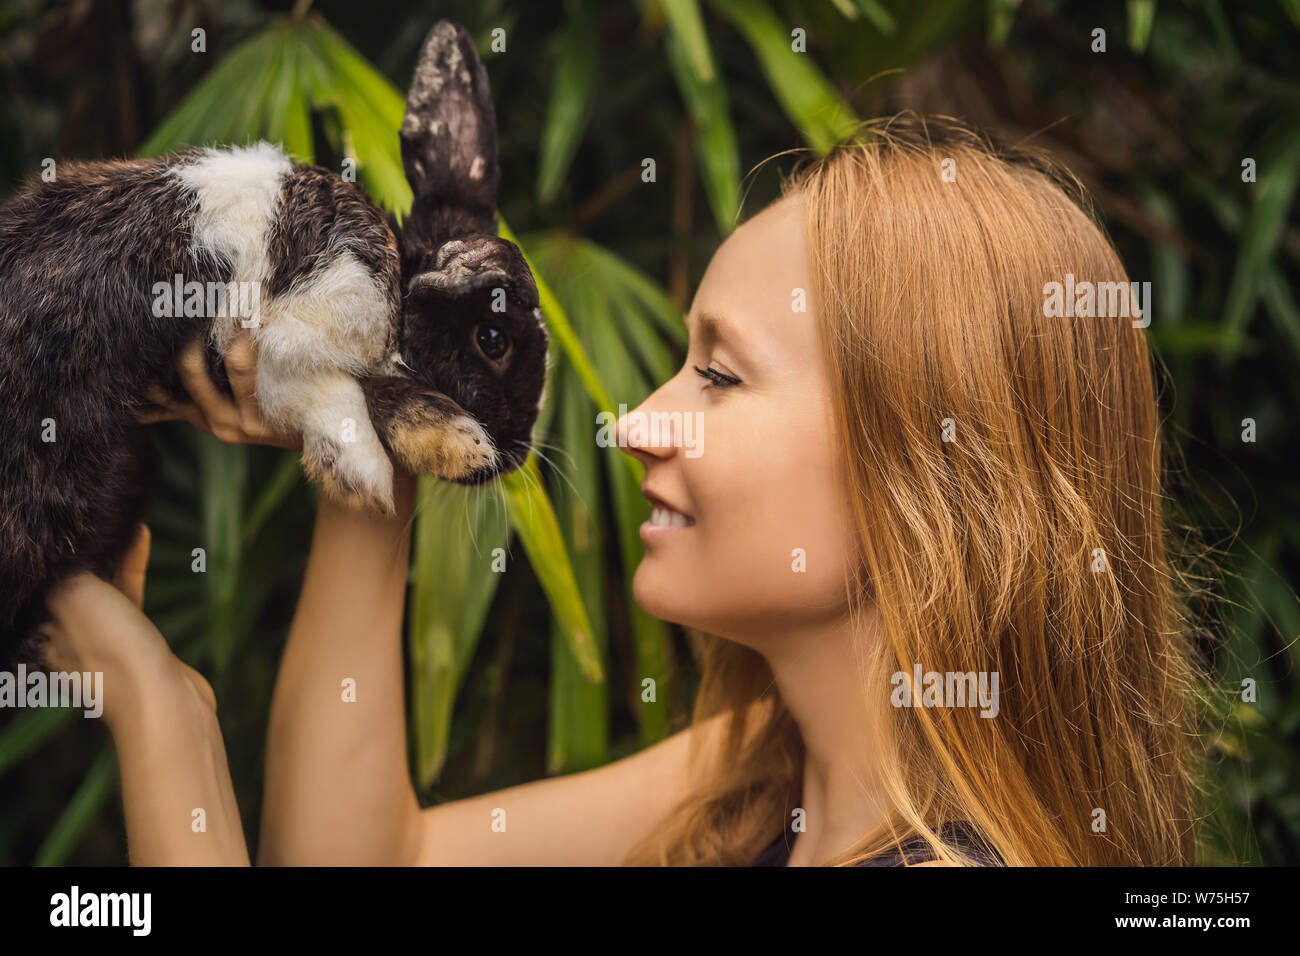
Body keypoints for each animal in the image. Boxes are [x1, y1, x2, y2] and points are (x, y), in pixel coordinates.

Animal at [0, 20, 548, 666]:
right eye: (493, 339)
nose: (513, 457)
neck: (400, 276)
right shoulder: (277, 329)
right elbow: (349, 388)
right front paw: (411, 456)